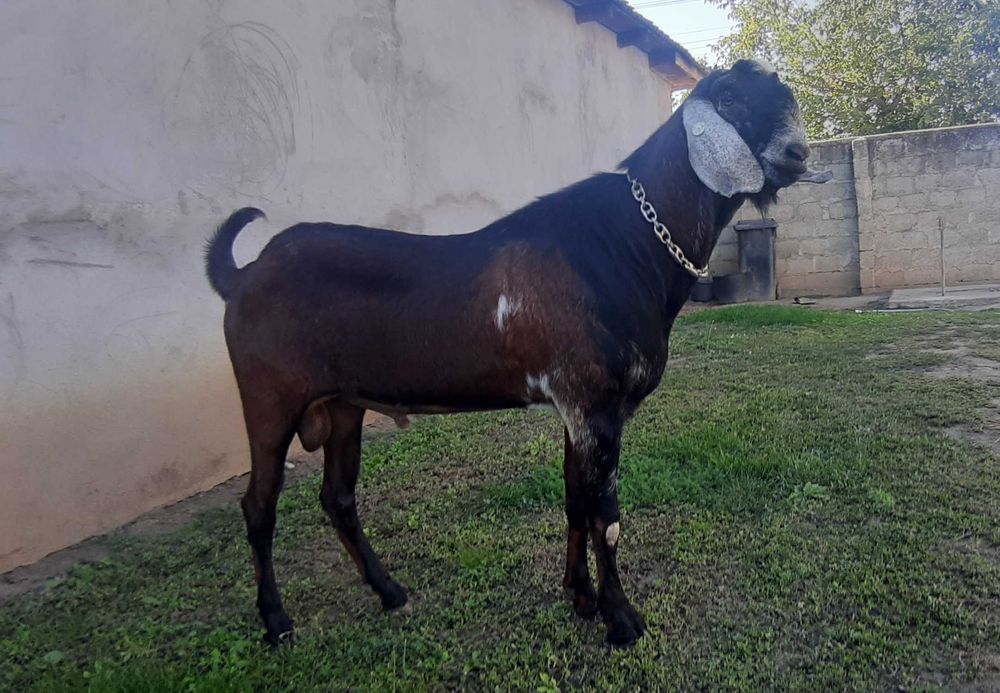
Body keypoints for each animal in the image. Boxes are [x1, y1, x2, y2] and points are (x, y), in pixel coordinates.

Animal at [205, 60, 827, 648]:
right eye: (730, 99)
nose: (798, 153)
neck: (622, 242)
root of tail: (245, 276)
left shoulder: (578, 410)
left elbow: (575, 498)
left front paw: (581, 596)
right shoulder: (594, 404)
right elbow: (606, 517)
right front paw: (621, 620)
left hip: (341, 405)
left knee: (337, 497)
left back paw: (389, 591)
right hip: (270, 399)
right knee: (259, 506)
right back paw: (276, 621)